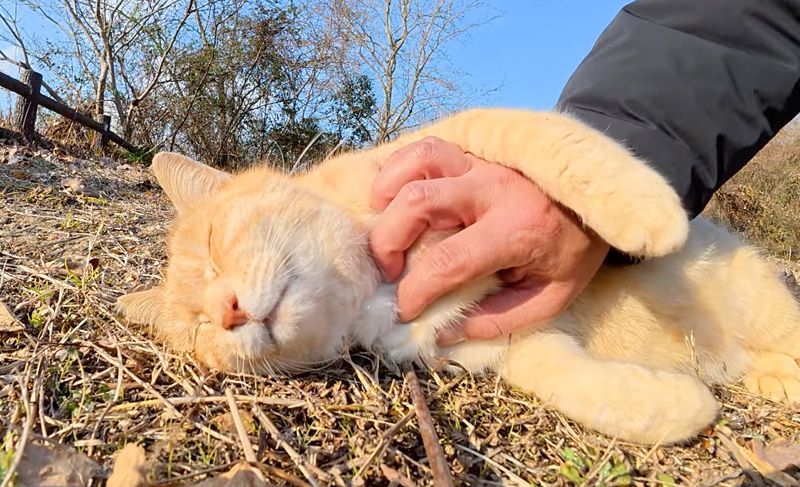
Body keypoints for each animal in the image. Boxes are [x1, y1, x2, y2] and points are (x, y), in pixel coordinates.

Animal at [119, 109, 800, 446]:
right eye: (197, 327)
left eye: (214, 247)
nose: (227, 309)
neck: (368, 291)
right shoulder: (507, 339)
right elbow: (581, 389)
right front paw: (682, 409)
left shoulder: (454, 146)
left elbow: (552, 140)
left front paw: (648, 216)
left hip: (758, 295)